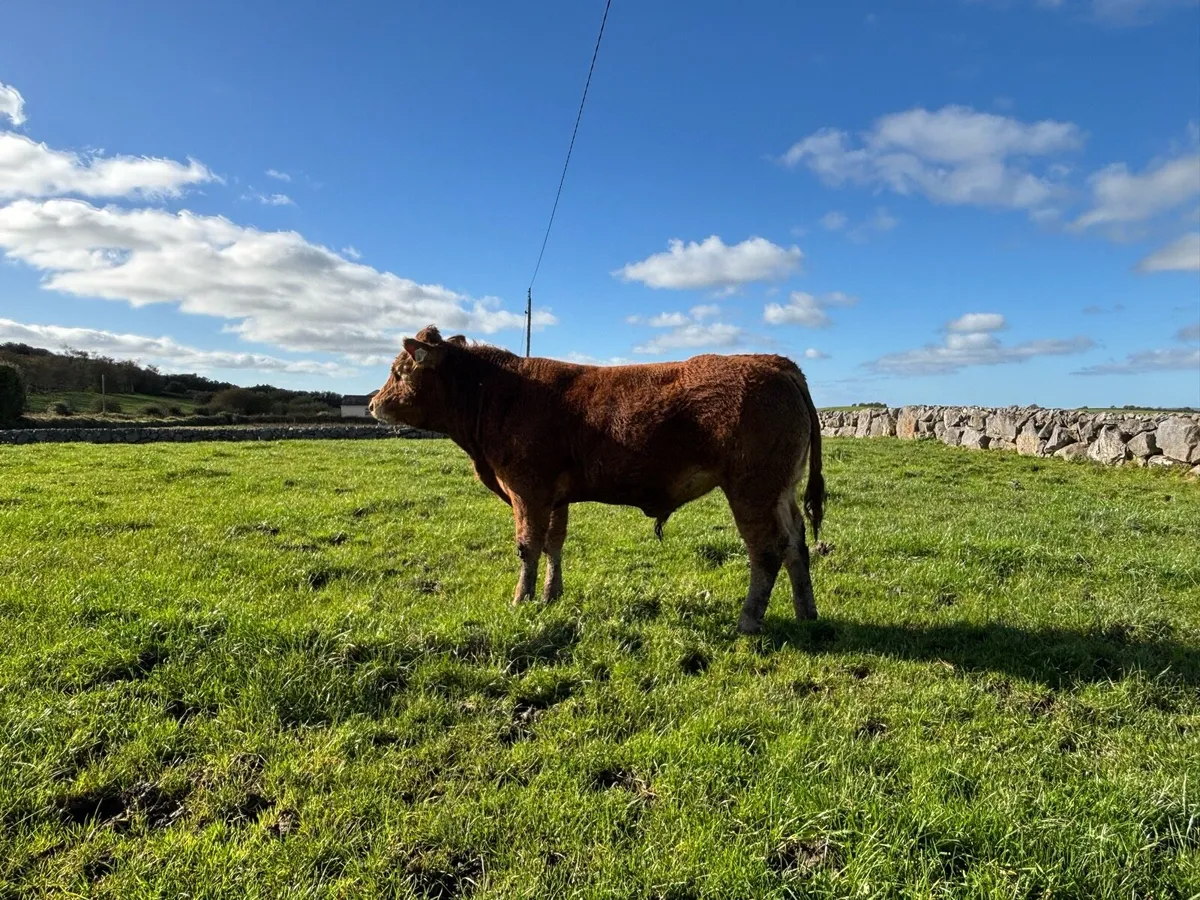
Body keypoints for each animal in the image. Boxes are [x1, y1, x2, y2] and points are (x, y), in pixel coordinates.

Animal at [369, 325, 825, 634]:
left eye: (398, 371)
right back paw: (806, 613)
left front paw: (521, 600)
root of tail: (772, 361)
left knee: (767, 550)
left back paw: (748, 621)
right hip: (781, 489)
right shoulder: (554, 497)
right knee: (796, 544)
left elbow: (527, 546)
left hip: (752, 489)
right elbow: (553, 543)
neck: (498, 395)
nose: (373, 403)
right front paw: (550, 595)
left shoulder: (527, 488)